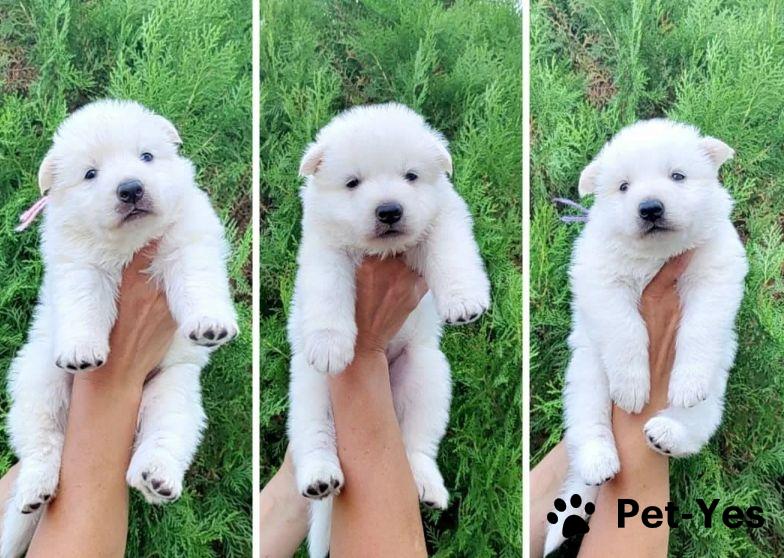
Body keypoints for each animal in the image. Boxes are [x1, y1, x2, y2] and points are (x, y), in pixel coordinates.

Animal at [1, 100, 237, 558]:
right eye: (91, 174)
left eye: (146, 157)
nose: (130, 188)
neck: (131, 244)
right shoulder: (80, 265)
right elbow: (84, 307)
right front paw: (82, 350)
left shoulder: (187, 241)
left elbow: (197, 280)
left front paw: (209, 324)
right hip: (37, 382)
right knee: (41, 444)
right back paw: (35, 490)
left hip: (175, 393)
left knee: (163, 438)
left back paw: (155, 478)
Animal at [287, 103, 490, 557]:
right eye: (352, 183)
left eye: (411, 176)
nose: (389, 210)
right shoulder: (324, 251)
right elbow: (327, 293)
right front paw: (331, 345)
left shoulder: (445, 216)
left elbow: (451, 251)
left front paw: (464, 300)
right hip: (309, 392)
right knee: (315, 439)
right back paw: (319, 478)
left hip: (427, 375)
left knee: (417, 445)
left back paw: (427, 486)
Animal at [544, 119, 747, 553]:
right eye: (623, 187)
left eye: (678, 176)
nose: (650, 207)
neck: (657, 257)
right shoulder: (603, 281)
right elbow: (626, 330)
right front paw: (632, 387)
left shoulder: (715, 275)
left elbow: (699, 330)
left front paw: (686, 382)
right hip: (585, 380)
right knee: (588, 429)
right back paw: (600, 460)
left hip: (713, 400)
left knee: (694, 429)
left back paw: (668, 433)